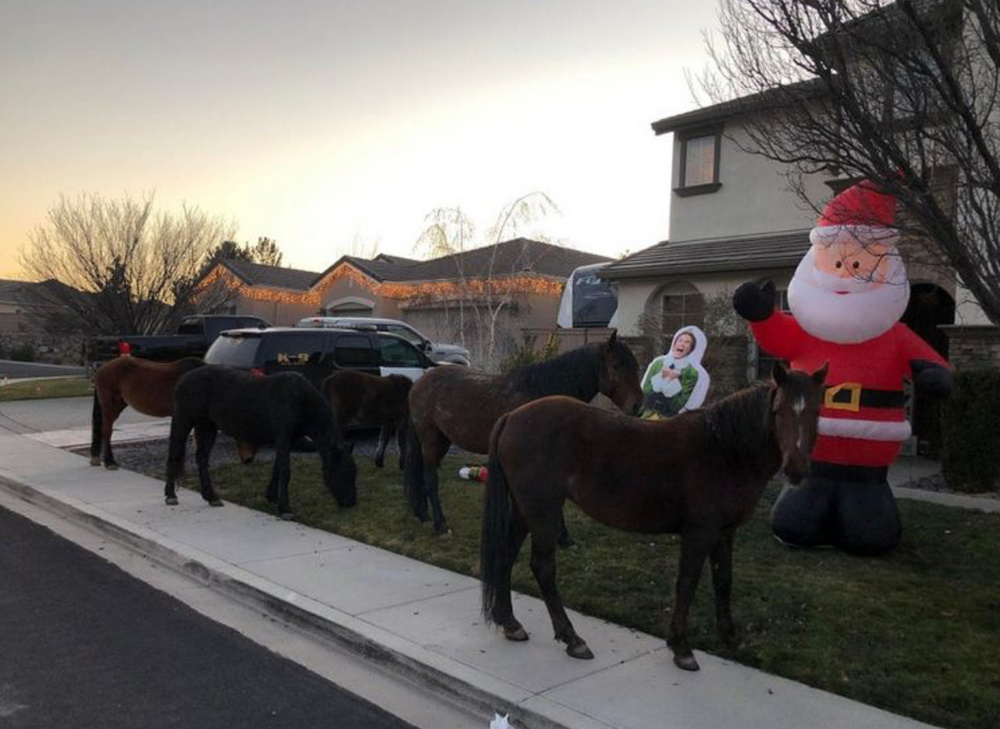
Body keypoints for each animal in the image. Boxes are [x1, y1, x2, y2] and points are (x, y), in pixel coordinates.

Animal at [160, 370, 356, 516]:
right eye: (343, 471)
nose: (351, 503)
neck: (300, 400)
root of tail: (183, 379)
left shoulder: (287, 440)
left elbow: (278, 468)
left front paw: (271, 497)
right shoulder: (283, 437)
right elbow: (285, 471)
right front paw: (284, 508)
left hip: (207, 426)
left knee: (201, 458)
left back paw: (211, 497)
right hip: (184, 421)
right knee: (174, 454)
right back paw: (171, 495)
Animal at [404, 332, 640, 532]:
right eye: (616, 365)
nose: (637, 405)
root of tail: (420, 382)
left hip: (442, 440)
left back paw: (423, 514)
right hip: (430, 439)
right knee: (430, 478)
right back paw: (440, 525)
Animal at [480, 360, 824, 672]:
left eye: (816, 412)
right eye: (778, 410)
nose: (796, 469)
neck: (724, 449)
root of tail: (512, 417)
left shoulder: (725, 532)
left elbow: (723, 581)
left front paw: (729, 637)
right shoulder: (699, 531)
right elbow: (687, 582)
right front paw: (681, 647)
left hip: (525, 509)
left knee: (505, 556)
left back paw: (510, 623)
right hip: (544, 511)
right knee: (543, 567)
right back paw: (572, 638)